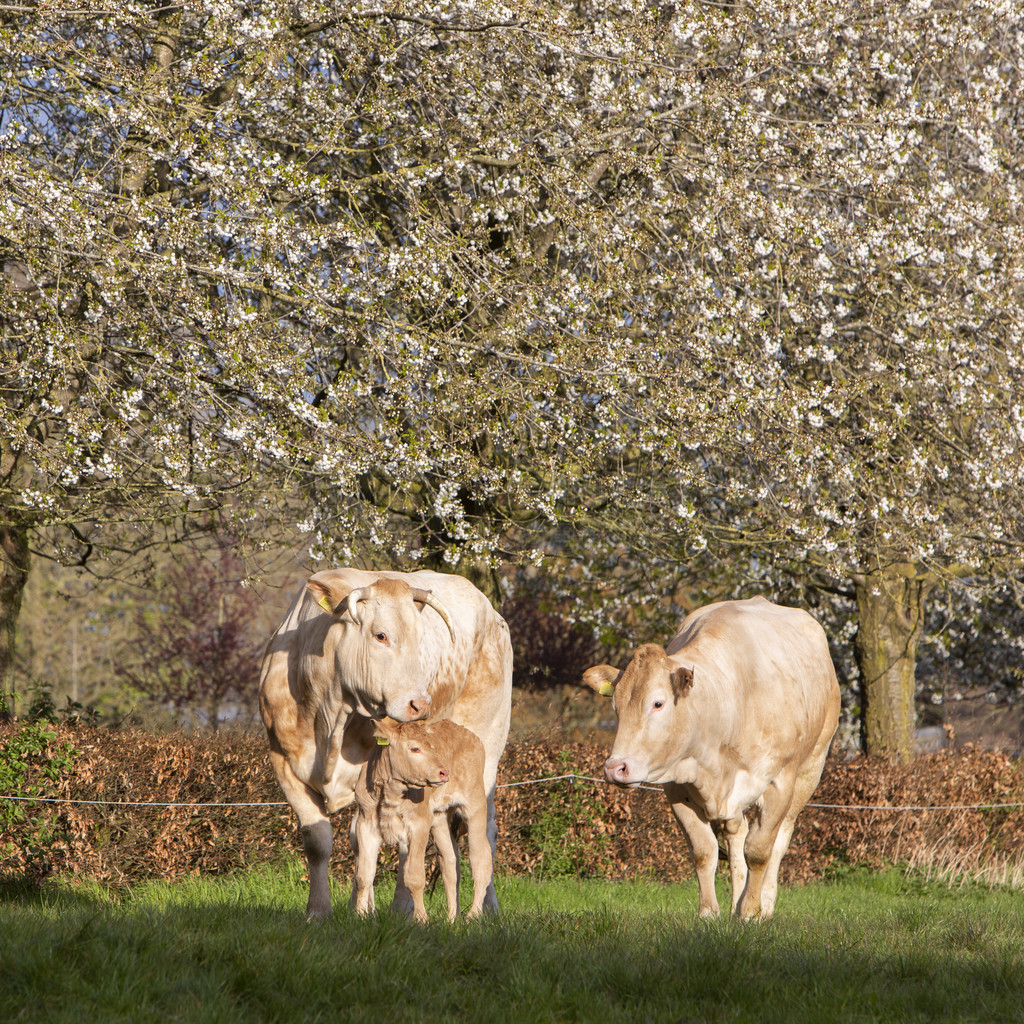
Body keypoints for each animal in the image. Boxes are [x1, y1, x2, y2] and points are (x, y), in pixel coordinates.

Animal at [350, 716, 493, 925]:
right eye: (415, 748)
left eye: (433, 746)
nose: (444, 772)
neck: (390, 794)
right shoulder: (365, 824)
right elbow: (364, 876)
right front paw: (360, 916)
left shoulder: (419, 824)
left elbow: (414, 875)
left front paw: (421, 919)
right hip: (440, 817)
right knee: (450, 861)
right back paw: (452, 919)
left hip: (475, 802)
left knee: (481, 857)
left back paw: (473, 915)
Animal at [585, 593, 839, 921]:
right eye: (615, 707)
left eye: (658, 703)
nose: (616, 768)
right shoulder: (677, 787)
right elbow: (703, 851)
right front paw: (710, 912)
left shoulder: (779, 781)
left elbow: (759, 851)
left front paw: (751, 912)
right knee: (736, 835)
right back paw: (736, 903)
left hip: (811, 768)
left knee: (781, 837)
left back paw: (763, 905)